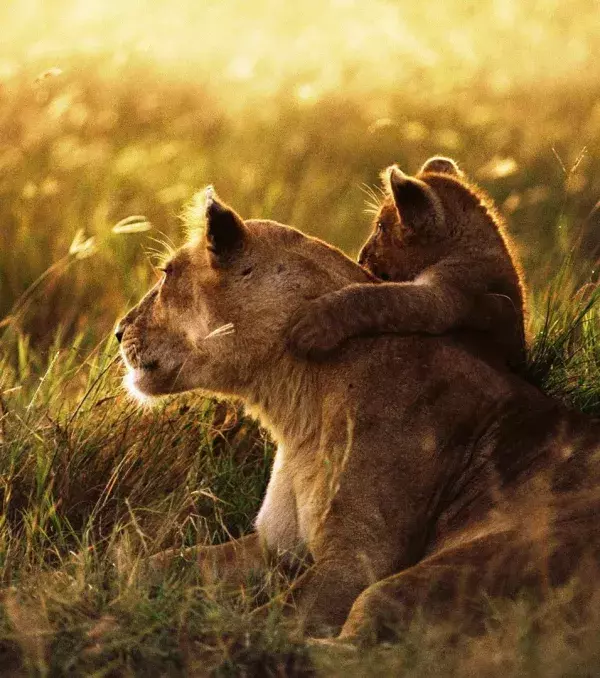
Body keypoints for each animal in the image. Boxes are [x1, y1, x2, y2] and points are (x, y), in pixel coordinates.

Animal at [116, 188, 600, 642]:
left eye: (166, 274)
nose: (119, 330)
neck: (295, 407)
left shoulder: (359, 560)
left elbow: (272, 619)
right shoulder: (275, 546)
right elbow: (157, 563)